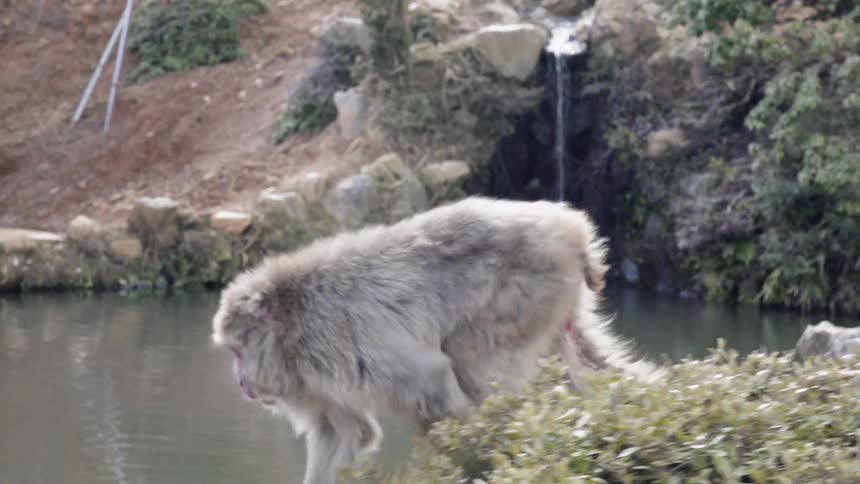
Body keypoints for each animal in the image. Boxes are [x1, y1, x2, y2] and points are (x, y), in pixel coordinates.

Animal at [211, 196, 662, 484]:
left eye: (236, 351)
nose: (238, 380)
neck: (293, 324)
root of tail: (571, 227)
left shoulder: (337, 342)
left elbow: (431, 382)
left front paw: (473, 459)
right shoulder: (315, 381)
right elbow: (344, 432)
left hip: (527, 288)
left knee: (470, 358)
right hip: (556, 297)